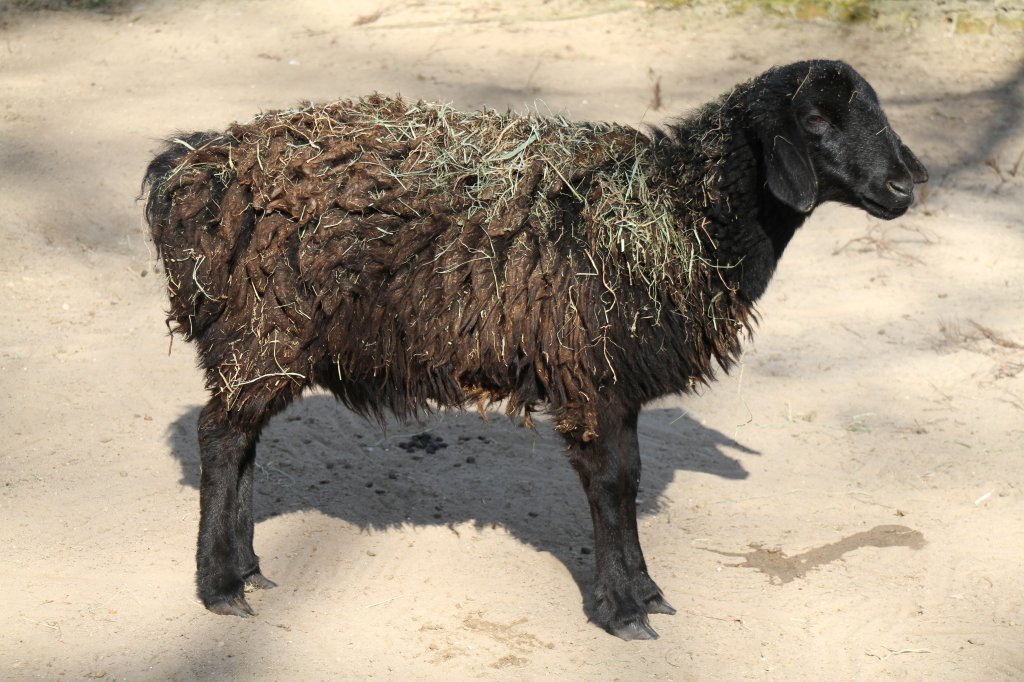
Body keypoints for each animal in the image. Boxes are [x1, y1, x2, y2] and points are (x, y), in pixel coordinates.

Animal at [142, 58, 929, 638]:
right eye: (817, 120)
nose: (903, 186)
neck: (677, 212)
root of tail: (189, 166)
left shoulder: (616, 383)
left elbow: (629, 479)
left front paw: (645, 590)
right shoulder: (591, 376)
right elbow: (612, 484)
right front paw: (623, 610)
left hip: (266, 346)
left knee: (243, 440)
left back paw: (247, 568)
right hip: (260, 330)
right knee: (220, 437)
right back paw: (219, 585)